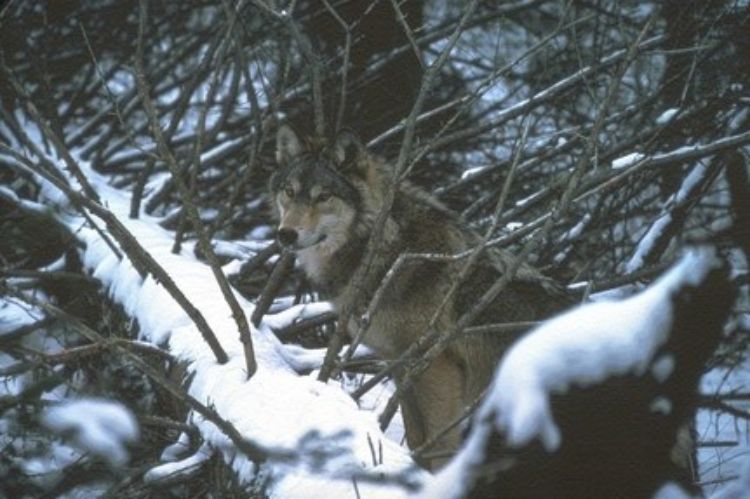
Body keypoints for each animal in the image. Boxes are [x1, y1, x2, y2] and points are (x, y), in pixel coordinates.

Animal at [272, 124, 568, 468]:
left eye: (323, 196)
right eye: (289, 191)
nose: (286, 234)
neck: (387, 248)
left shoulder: (435, 365)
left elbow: (437, 445)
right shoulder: (398, 364)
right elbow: (415, 439)